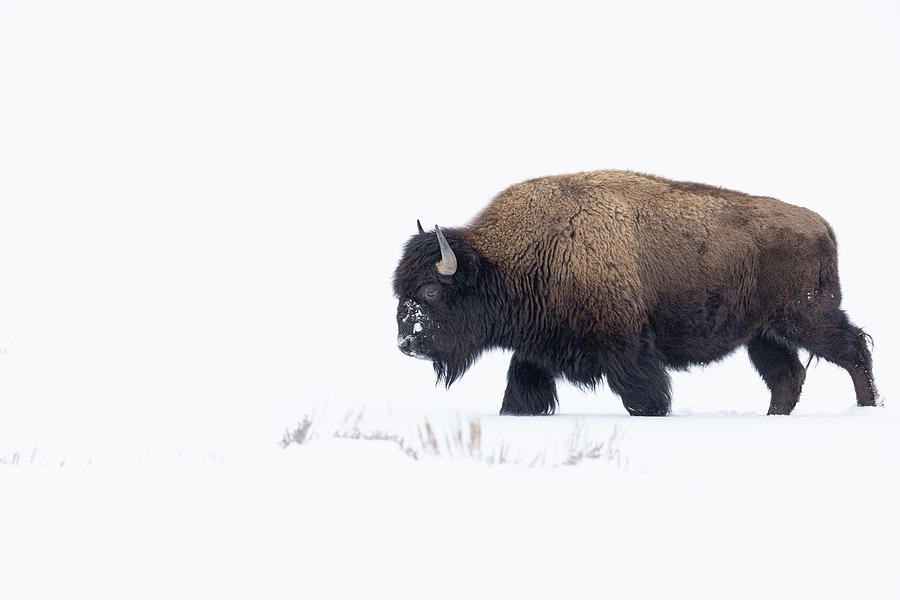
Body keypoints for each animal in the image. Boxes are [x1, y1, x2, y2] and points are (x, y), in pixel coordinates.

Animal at [394, 168, 880, 412]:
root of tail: (821, 225)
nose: (406, 344)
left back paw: (867, 408)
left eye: (431, 291)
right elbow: (521, 393)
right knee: (787, 376)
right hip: (762, 334)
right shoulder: (535, 351)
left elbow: (644, 395)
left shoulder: (626, 346)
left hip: (806, 318)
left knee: (853, 349)